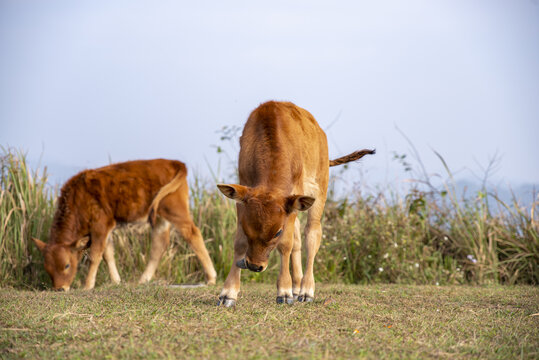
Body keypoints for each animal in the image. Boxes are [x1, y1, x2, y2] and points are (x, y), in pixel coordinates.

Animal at [31, 159, 216, 292]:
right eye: (47, 268)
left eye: (67, 265)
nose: (59, 289)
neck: (77, 198)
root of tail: (174, 162)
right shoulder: (105, 230)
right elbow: (108, 254)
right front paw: (116, 281)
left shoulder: (101, 225)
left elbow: (95, 255)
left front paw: (87, 286)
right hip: (159, 218)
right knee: (159, 245)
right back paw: (143, 280)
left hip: (175, 210)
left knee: (192, 233)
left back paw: (211, 277)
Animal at [217, 101, 374, 306]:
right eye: (246, 227)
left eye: (277, 232)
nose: (254, 266)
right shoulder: (243, 196)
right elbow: (240, 242)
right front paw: (228, 293)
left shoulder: (292, 202)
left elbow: (286, 244)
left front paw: (284, 291)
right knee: (299, 239)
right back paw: (297, 285)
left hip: (318, 190)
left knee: (312, 235)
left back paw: (306, 290)